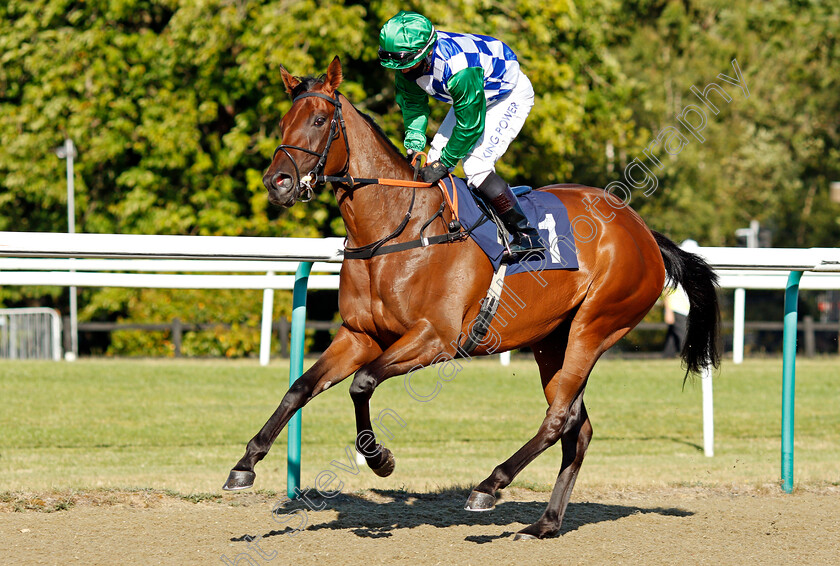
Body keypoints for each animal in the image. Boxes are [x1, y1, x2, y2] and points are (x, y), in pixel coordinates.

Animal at [225, 56, 720, 540]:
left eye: (319, 119)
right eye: (283, 121)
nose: (278, 182)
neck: (394, 230)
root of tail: (644, 233)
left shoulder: (435, 338)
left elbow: (362, 383)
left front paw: (380, 459)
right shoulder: (359, 335)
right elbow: (300, 388)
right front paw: (245, 463)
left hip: (595, 326)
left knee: (558, 419)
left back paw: (489, 485)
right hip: (552, 341)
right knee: (577, 428)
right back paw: (544, 523)